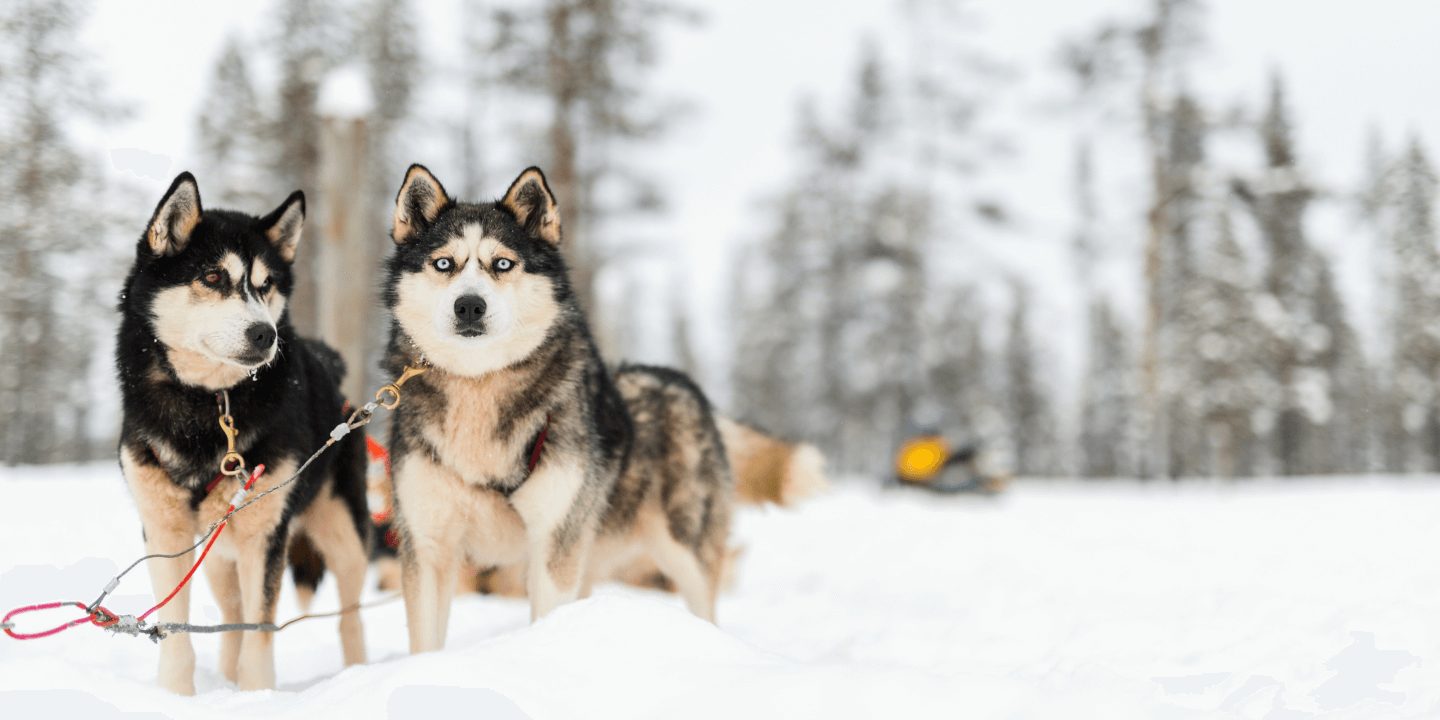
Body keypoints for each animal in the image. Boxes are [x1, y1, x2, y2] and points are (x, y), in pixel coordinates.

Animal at [116, 171, 371, 694]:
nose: (265, 334)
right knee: (230, 616)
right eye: (214, 277)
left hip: (344, 537)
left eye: (265, 284)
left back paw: (358, 671)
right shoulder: (166, 532)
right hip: (217, 552)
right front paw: (176, 696)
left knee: (349, 616)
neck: (207, 404)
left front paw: (256, 697)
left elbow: (261, 630)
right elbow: (178, 632)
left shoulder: (264, 536)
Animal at [385, 164, 737, 653]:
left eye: (502, 263)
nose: (469, 305)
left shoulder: (553, 541)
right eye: (443, 264)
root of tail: (680, 382)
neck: (478, 386)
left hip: (682, 550)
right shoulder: (429, 544)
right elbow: (426, 642)